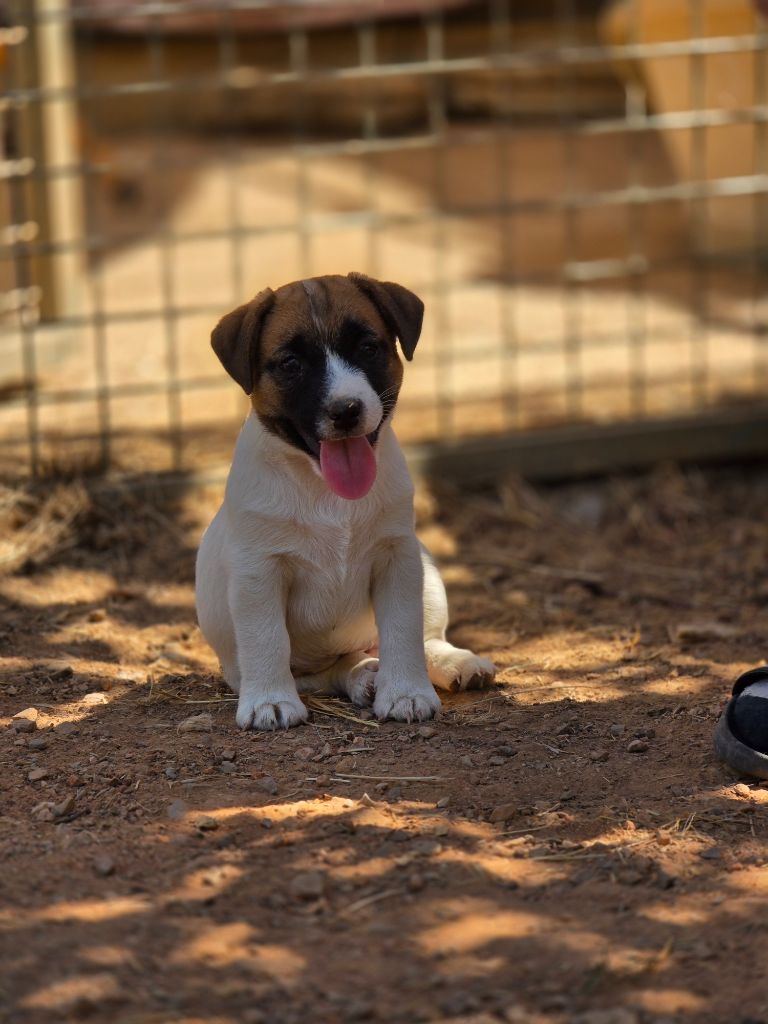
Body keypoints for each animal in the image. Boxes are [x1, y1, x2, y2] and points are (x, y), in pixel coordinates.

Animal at [195, 273, 496, 730]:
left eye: (368, 348)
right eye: (291, 364)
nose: (346, 409)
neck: (325, 490)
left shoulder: (397, 558)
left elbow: (403, 631)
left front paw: (405, 692)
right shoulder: (258, 572)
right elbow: (267, 639)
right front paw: (270, 701)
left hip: (425, 567)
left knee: (423, 639)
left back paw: (452, 663)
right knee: (333, 669)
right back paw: (362, 676)